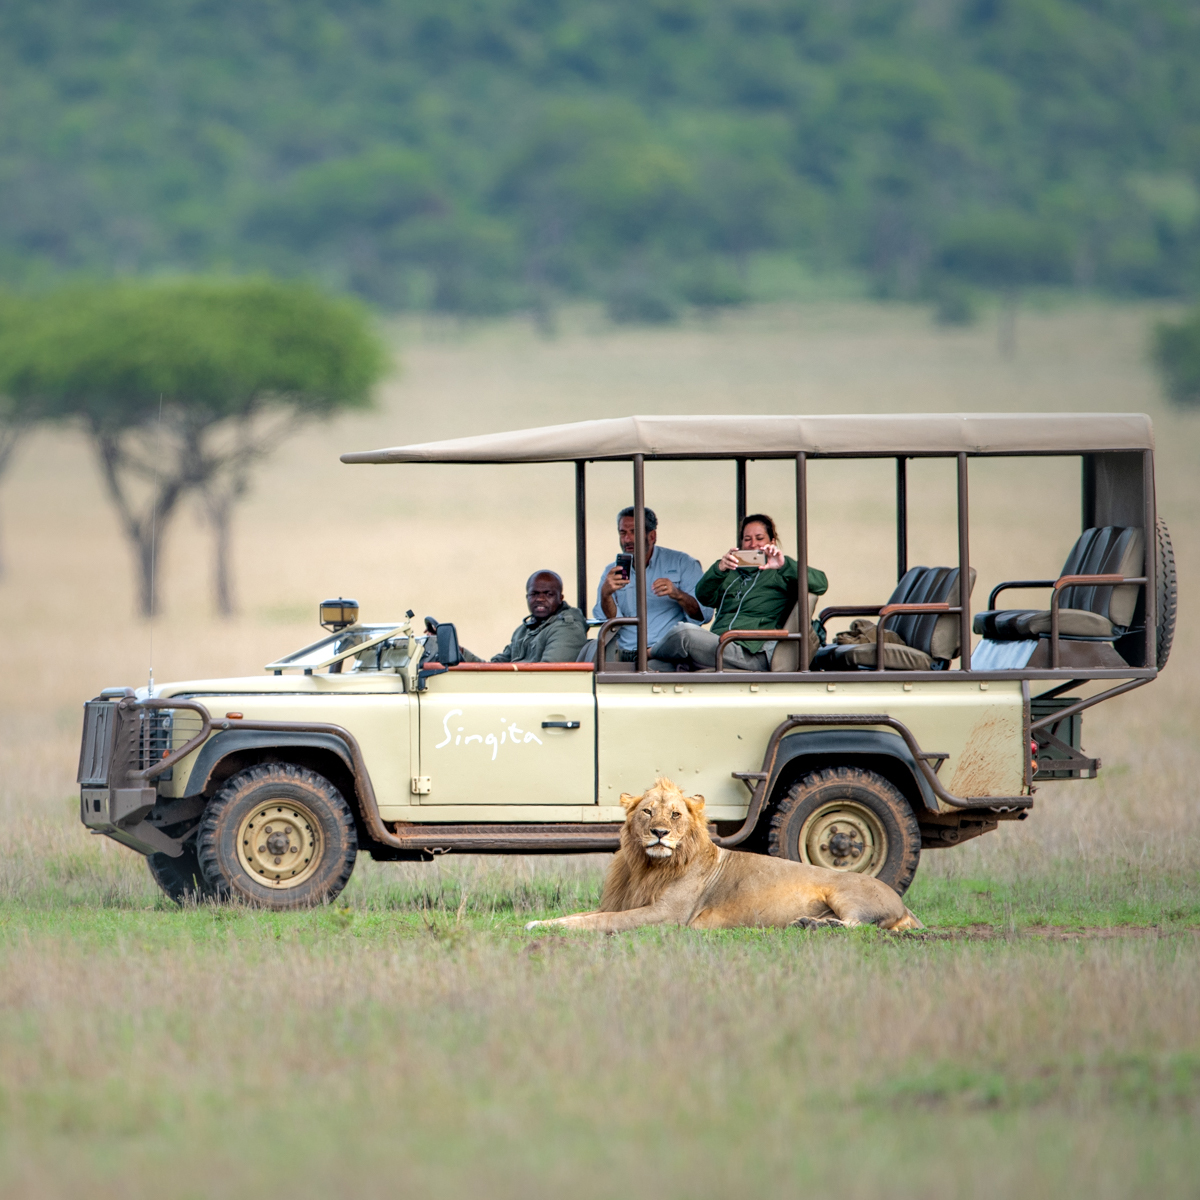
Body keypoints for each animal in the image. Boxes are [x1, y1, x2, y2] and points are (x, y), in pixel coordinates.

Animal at [520, 777, 921, 936]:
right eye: (648, 812)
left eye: (675, 814)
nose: (659, 833)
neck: (648, 866)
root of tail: (904, 906)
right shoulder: (622, 902)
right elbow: (580, 916)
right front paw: (540, 923)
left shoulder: (667, 916)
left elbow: (601, 922)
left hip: (844, 891)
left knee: (859, 925)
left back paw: (812, 924)